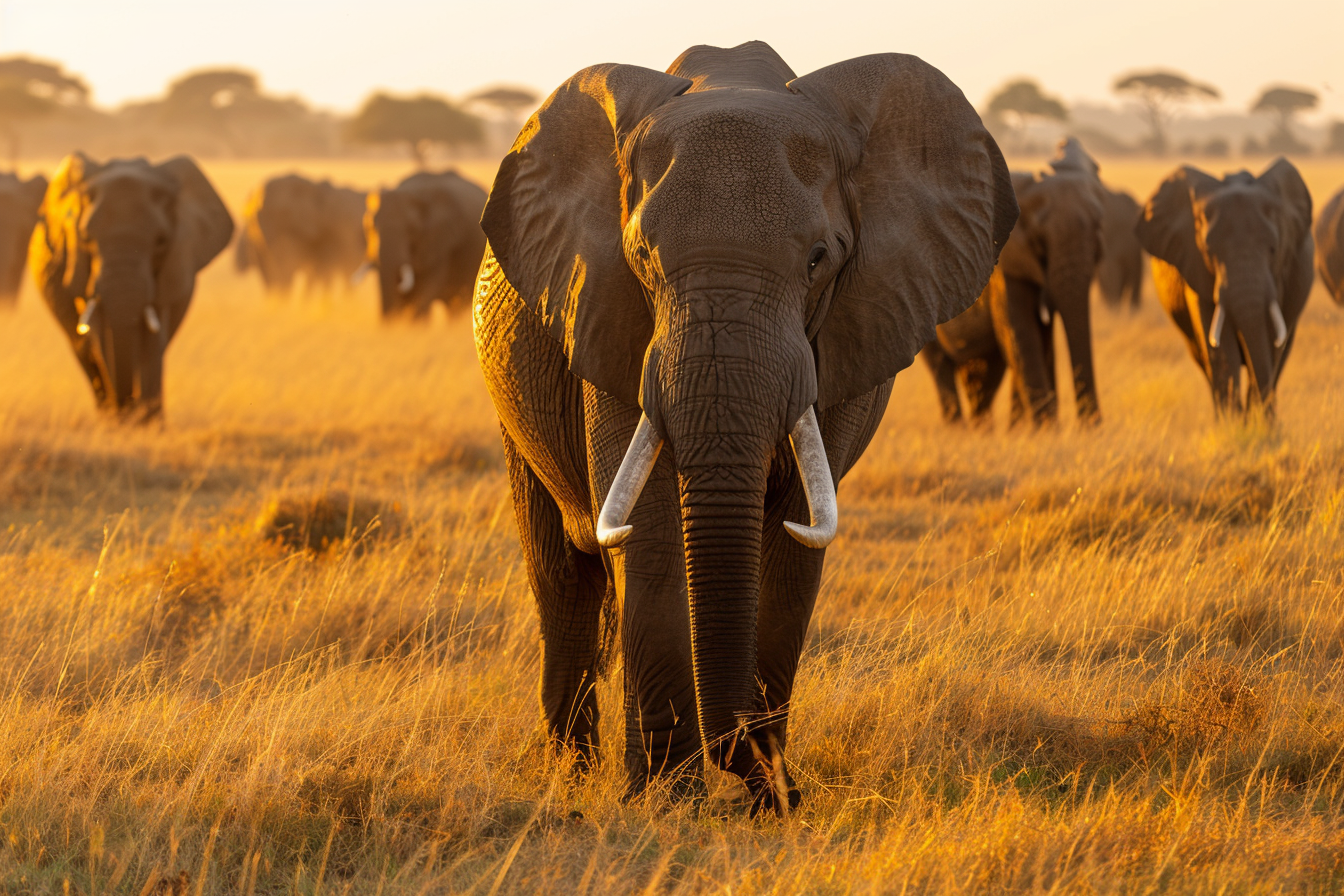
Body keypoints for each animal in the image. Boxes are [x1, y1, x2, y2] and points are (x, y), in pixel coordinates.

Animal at [30, 154, 233, 421]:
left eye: (160, 241)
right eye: (86, 239)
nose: (128, 408)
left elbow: (154, 337)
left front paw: (149, 424)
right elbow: (99, 333)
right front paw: (122, 424)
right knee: (82, 348)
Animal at [473, 41, 1016, 812]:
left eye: (819, 258)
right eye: (642, 257)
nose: (746, 760)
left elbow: (792, 543)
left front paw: (772, 805)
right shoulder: (607, 314)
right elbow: (651, 534)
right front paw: (665, 804)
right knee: (562, 579)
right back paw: (572, 776)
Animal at [921, 138, 1108, 426]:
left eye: (1099, 228)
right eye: (1039, 241)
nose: (1092, 429)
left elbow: (1036, 337)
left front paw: (1029, 430)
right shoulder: (1004, 265)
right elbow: (1021, 332)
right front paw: (1044, 430)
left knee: (986, 372)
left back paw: (982, 430)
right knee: (942, 365)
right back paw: (957, 429)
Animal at [1135, 159, 1313, 418]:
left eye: (1273, 249)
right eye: (1210, 252)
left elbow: (1270, 340)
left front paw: (1259, 426)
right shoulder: (1195, 266)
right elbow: (1220, 348)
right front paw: (1234, 425)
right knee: (1203, 357)